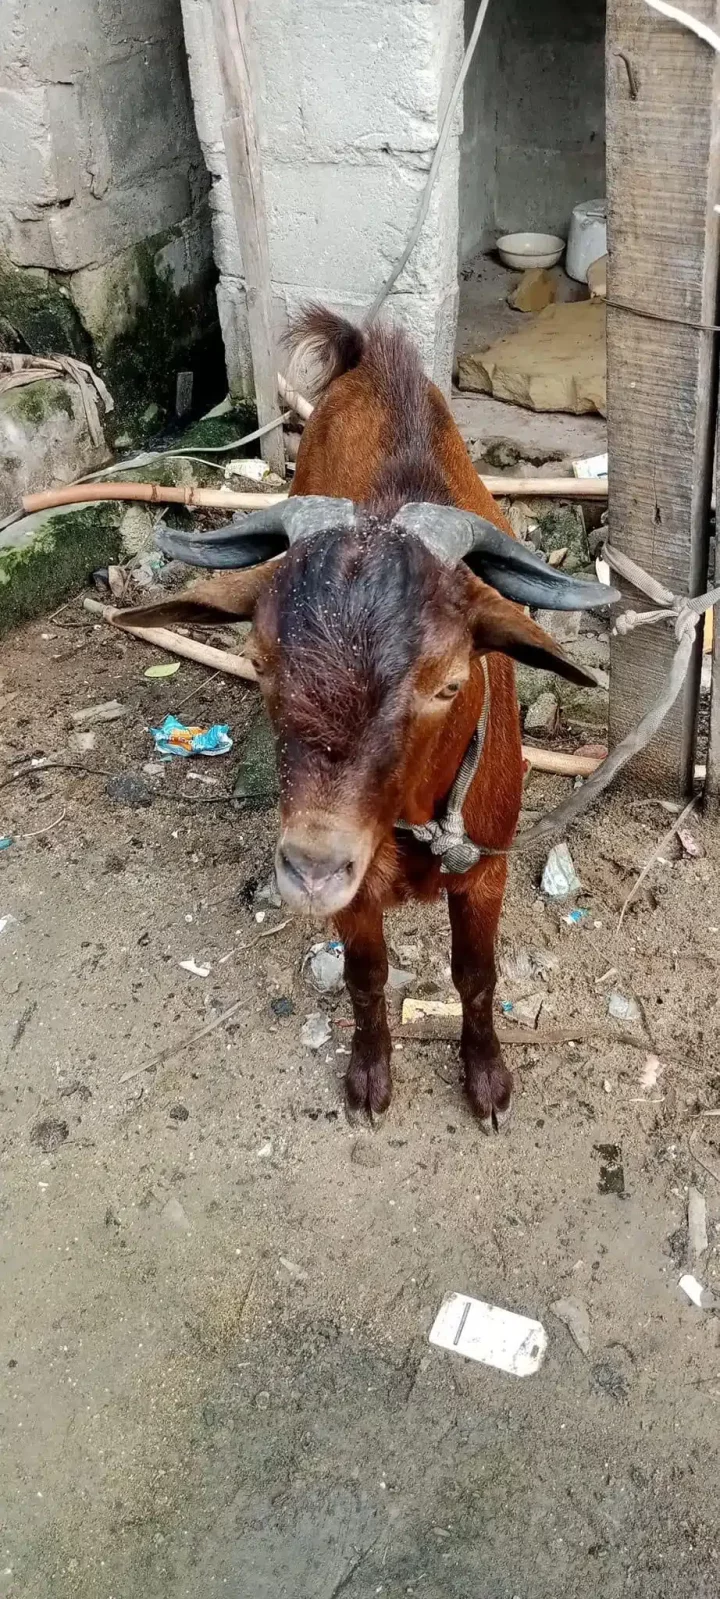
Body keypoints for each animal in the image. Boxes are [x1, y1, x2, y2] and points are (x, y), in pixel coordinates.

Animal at [116, 311, 614, 1132]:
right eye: (259, 659)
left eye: (450, 683)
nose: (312, 868)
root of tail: (371, 354)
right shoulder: (357, 894)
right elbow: (365, 977)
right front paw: (369, 1077)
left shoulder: (487, 866)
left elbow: (476, 976)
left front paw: (487, 1080)